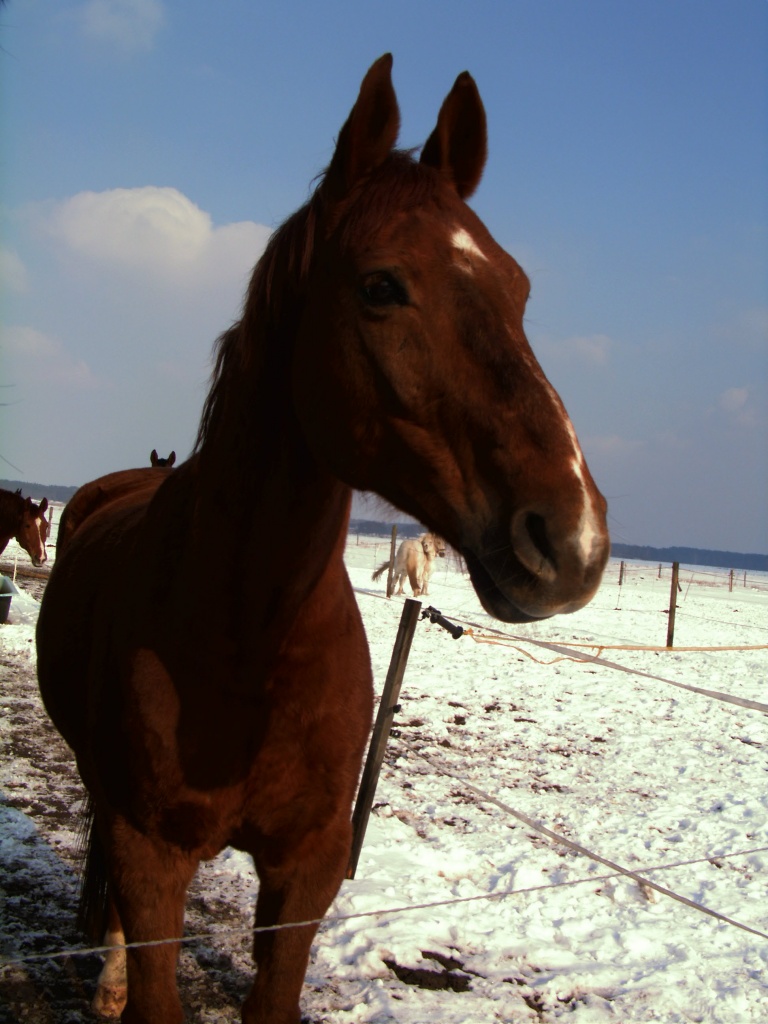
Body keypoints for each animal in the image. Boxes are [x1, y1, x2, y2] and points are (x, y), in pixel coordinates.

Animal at [35, 54, 609, 1023]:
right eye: (380, 285)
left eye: (520, 290)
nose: (572, 539)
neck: (249, 646)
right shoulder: (154, 859)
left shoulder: (303, 873)